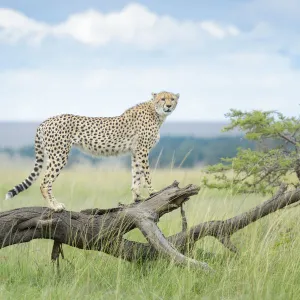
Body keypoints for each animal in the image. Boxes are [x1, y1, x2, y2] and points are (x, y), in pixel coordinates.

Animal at [4, 91, 179, 211]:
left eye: (172, 99)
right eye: (162, 98)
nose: (169, 106)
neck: (155, 112)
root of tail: (45, 121)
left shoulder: (136, 151)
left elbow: (136, 176)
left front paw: (137, 198)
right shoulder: (142, 151)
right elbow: (147, 174)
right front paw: (153, 192)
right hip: (59, 155)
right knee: (44, 183)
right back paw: (54, 206)